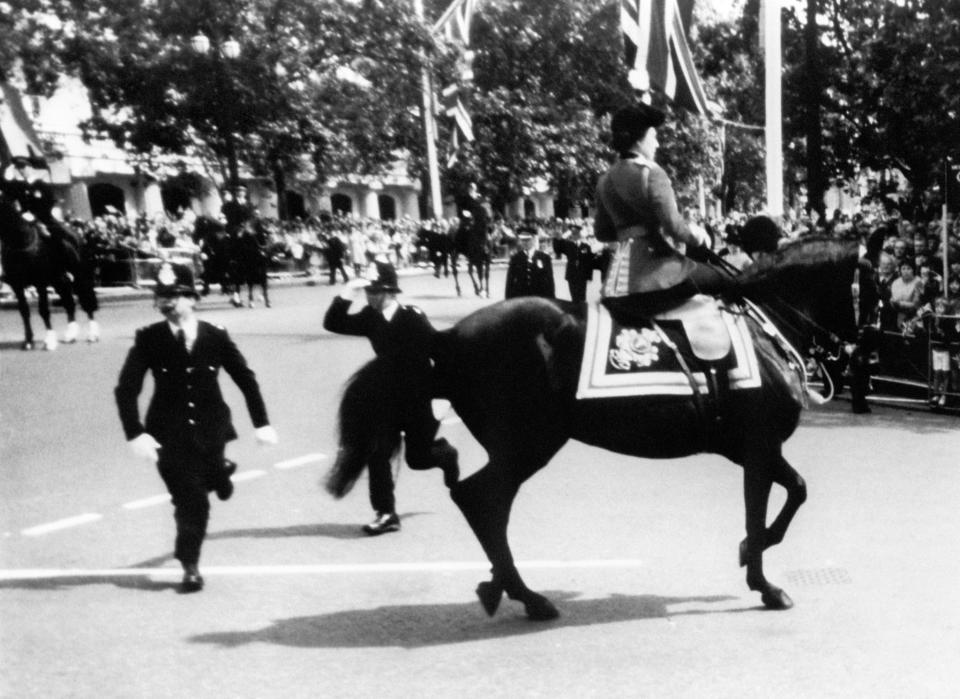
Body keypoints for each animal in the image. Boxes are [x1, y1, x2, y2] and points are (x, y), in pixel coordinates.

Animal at [0, 178, 99, 348]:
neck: (20, 241)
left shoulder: (40, 283)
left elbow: (43, 309)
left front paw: (49, 340)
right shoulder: (17, 286)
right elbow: (24, 311)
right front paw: (28, 341)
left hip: (79, 274)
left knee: (86, 299)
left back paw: (92, 334)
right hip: (58, 279)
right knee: (68, 301)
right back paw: (70, 334)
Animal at [328, 235, 872, 616]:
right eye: (867, 282)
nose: (860, 344)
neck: (763, 331)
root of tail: (447, 337)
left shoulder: (749, 450)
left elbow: (790, 493)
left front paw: (750, 558)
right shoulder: (759, 446)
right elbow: (772, 505)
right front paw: (763, 580)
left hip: (519, 448)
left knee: (482, 502)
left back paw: (501, 583)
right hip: (530, 445)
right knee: (480, 500)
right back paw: (525, 595)